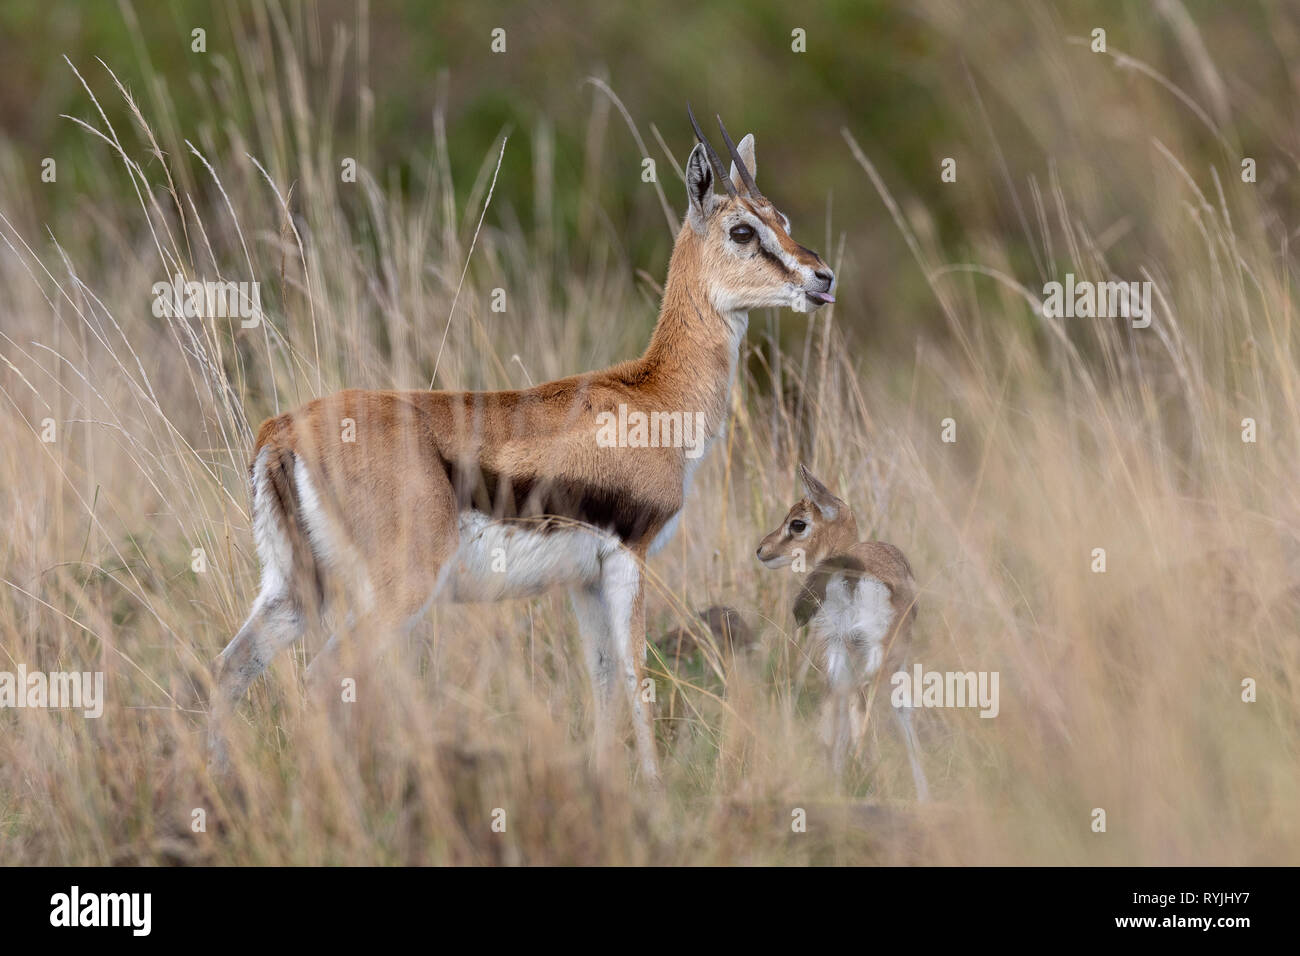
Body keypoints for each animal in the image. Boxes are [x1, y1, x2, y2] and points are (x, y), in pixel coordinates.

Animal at [208, 109, 836, 783]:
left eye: (783, 220)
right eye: (743, 230)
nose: (822, 277)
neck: (654, 396)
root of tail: (282, 431)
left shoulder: (586, 581)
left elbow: (603, 683)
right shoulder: (629, 560)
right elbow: (637, 679)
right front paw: (654, 788)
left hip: (293, 587)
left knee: (229, 669)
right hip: (395, 589)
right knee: (325, 677)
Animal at [756, 465, 929, 800]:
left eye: (797, 523)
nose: (761, 550)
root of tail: (849, 568)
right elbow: (903, 708)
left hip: (839, 649)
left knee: (835, 706)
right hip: (875, 654)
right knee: (862, 705)